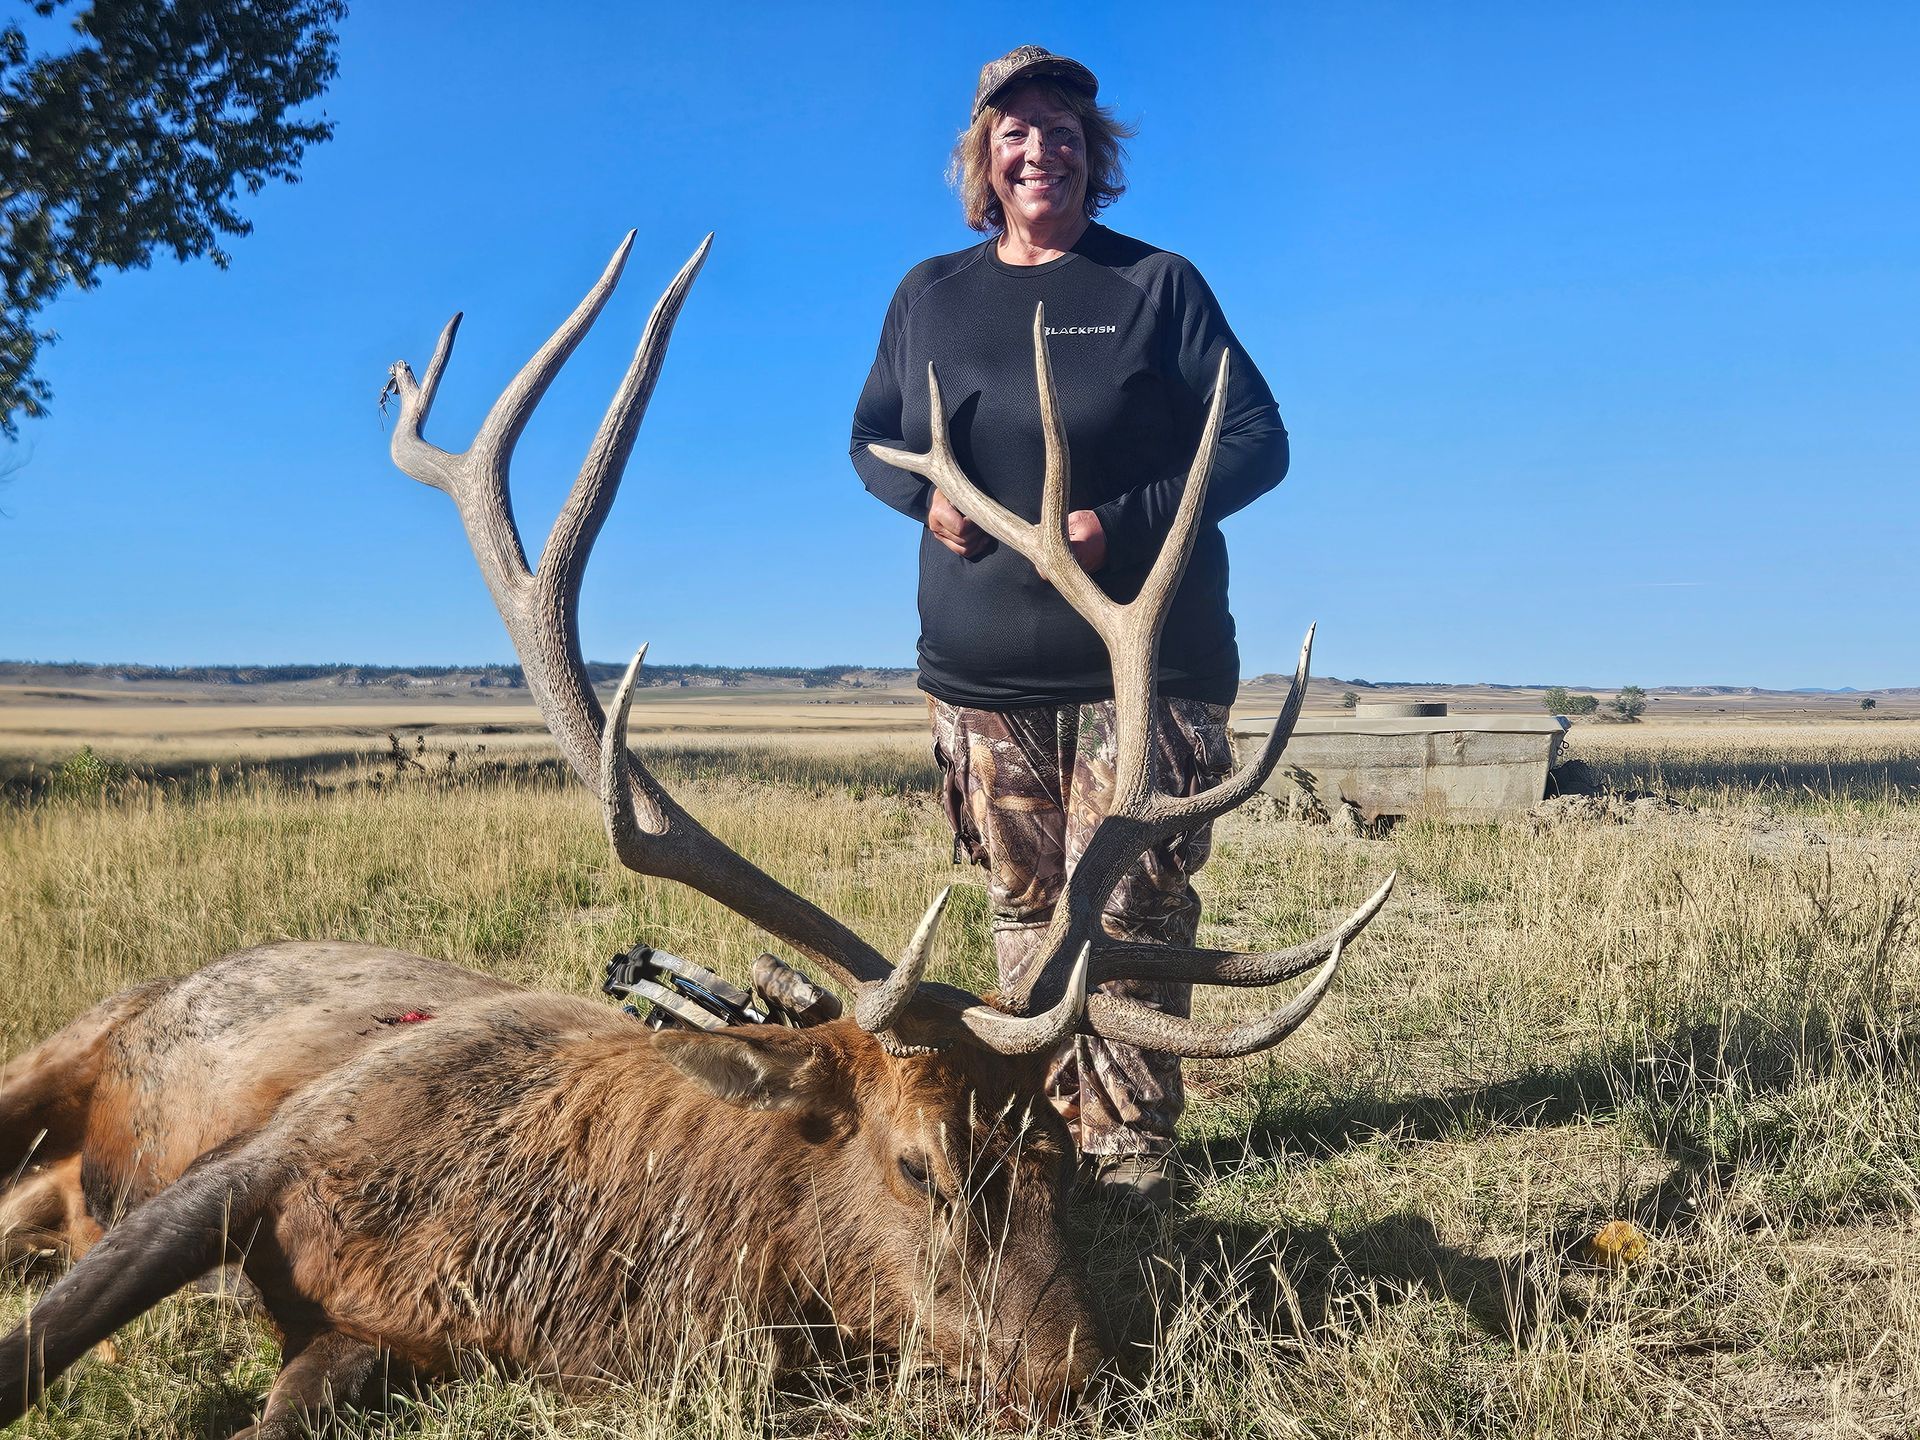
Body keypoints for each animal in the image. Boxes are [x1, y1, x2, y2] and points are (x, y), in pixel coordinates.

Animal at [0, 233, 1393, 1438]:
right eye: (919, 1168)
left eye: (1055, 1155)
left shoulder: (380, 1338)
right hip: (72, 1045)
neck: (541, 1267)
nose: (1080, 1378)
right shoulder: (257, 1159)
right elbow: (40, 1339)